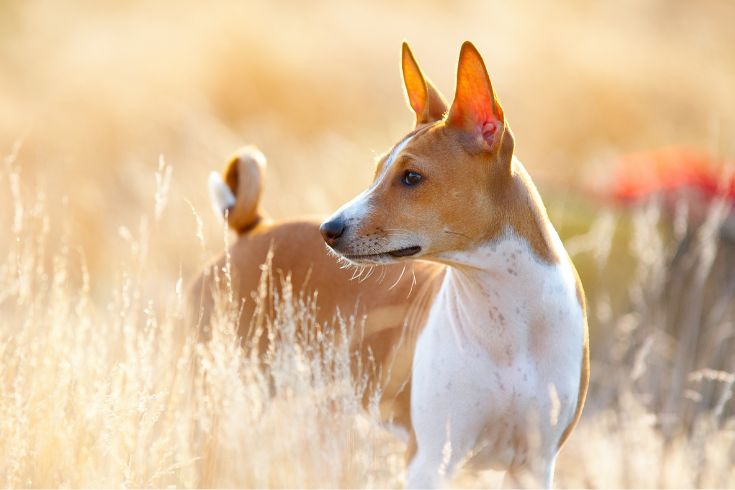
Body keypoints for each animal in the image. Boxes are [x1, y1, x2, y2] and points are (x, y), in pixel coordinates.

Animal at [324, 42, 592, 486]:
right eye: (378, 171)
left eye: (411, 177)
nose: (328, 229)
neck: (508, 323)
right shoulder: (430, 460)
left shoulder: (534, 466)